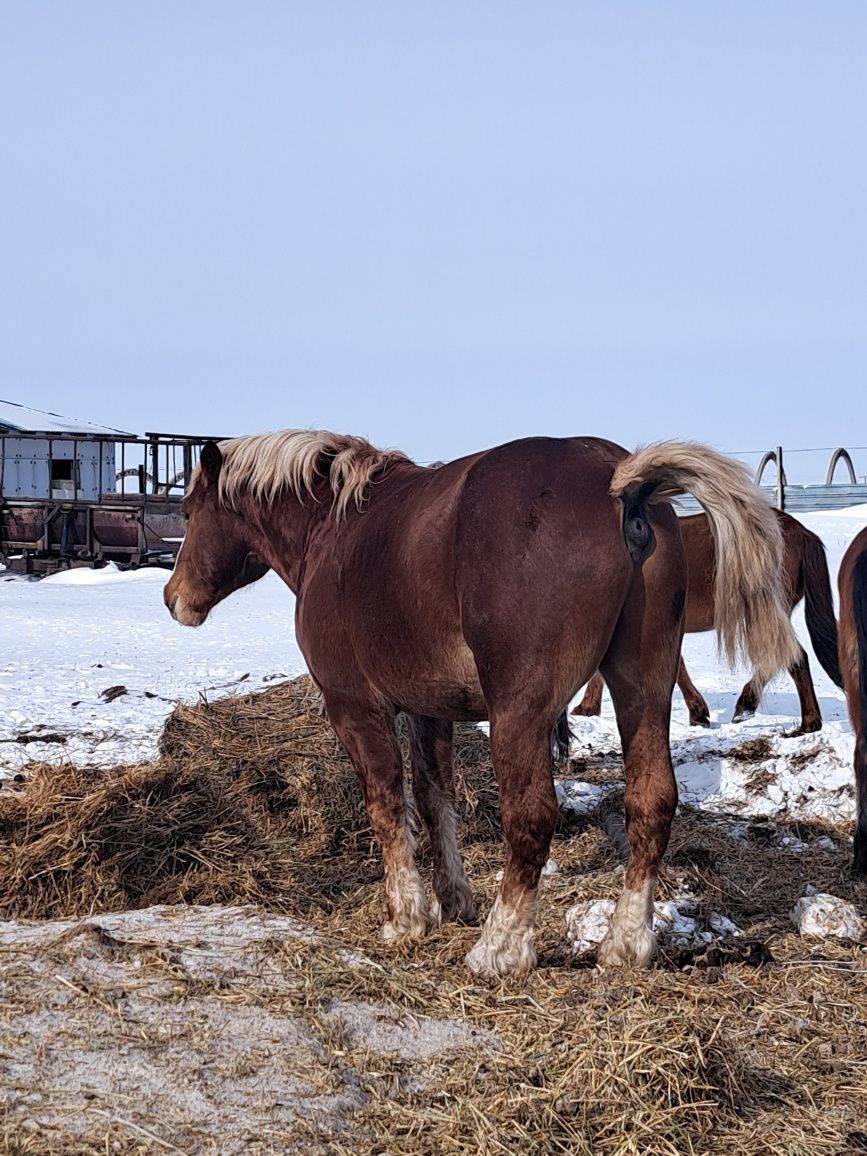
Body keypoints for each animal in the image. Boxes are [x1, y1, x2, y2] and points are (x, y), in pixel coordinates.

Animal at [164, 434, 799, 975]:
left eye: (189, 512)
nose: (174, 599)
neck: (335, 529)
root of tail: (619, 480)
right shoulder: (430, 711)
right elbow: (435, 800)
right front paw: (453, 900)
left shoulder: (356, 709)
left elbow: (387, 806)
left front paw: (406, 917)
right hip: (642, 688)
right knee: (651, 802)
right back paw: (624, 944)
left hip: (519, 712)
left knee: (531, 816)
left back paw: (500, 949)